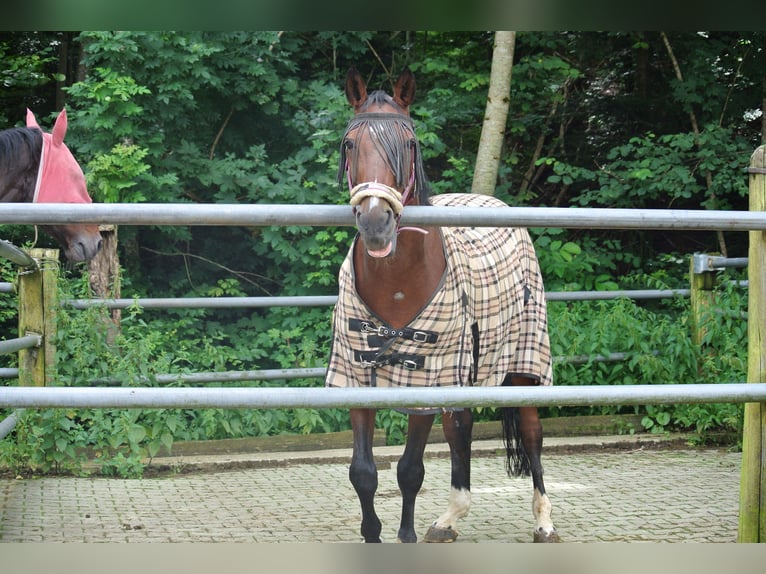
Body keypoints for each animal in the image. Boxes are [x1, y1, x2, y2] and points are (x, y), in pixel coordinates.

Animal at [328, 67, 560, 544]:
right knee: (461, 428)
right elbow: (364, 472)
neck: (398, 286)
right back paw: (450, 517)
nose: (376, 223)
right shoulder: (355, 377)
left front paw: (407, 535)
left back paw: (544, 521)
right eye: (349, 143)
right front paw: (374, 533)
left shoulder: (426, 380)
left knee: (532, 433)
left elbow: (409, 470)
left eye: (409, 144)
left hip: (525, 362)